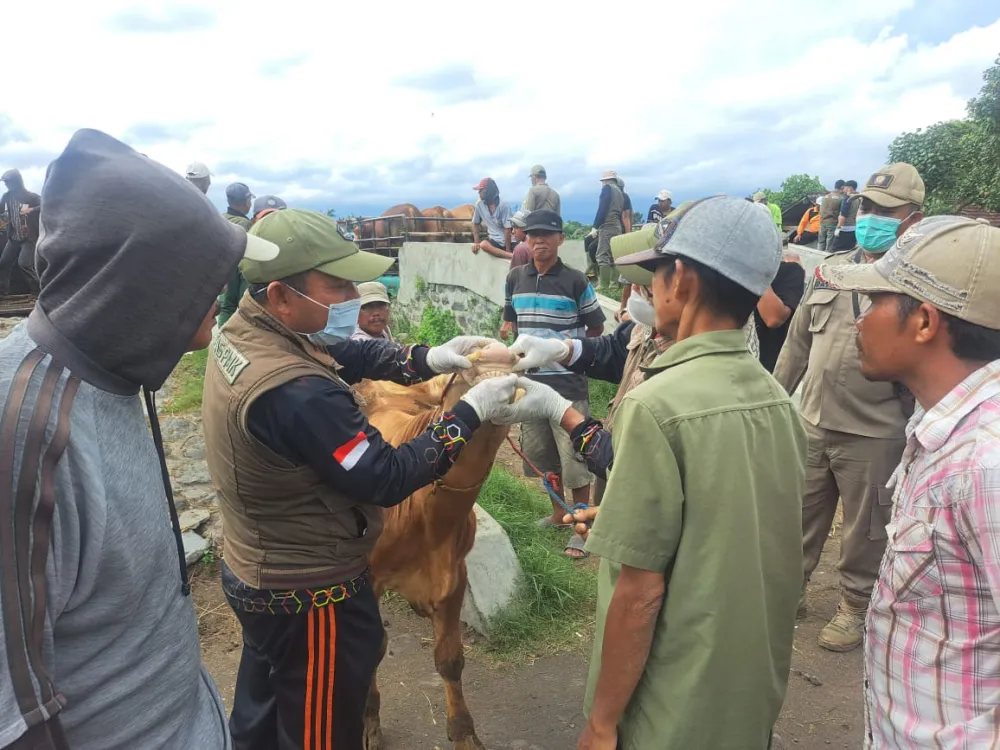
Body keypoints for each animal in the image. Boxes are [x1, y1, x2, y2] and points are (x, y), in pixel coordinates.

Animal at [358, 344, 516, 750]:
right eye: (469, 362)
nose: (498, 353)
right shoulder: (367, 577)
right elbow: (372, 647)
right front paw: (369, 722)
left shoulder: (455, 576)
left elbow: (449, 659)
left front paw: (464, 735)